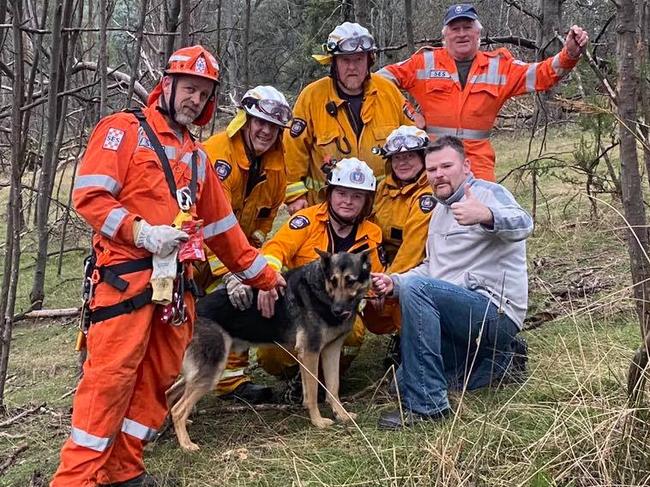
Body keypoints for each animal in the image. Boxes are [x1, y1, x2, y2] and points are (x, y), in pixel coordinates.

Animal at [165, 252, 372, 454]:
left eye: (350, 281)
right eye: (333, 280)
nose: (338, 310)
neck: (319, 288)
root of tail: (189, 314)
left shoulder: (331, 350)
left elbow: (333, 387)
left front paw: (342, 415)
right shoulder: (310, 353)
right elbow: (313, 392)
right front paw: (318, 422)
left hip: (203, 370)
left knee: (169, 394)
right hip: (211, 370)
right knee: (178, 409)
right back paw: (186, 444)